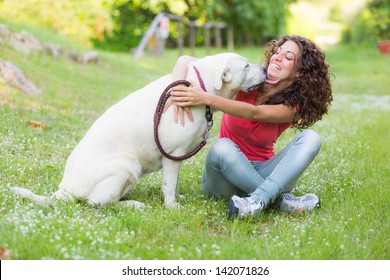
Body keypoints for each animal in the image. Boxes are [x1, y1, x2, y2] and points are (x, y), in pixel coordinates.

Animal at [13, 53, 266, 209]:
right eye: (246, 66)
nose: (265, 68)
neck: (201, 85)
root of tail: (64, 189)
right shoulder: (173, 154)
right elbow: (169, 185)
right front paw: (172, 206)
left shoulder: (177, 157)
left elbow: (173, 183)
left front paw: (176, 198)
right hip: (127, 165)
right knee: (98, 203)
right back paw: (133, 205)